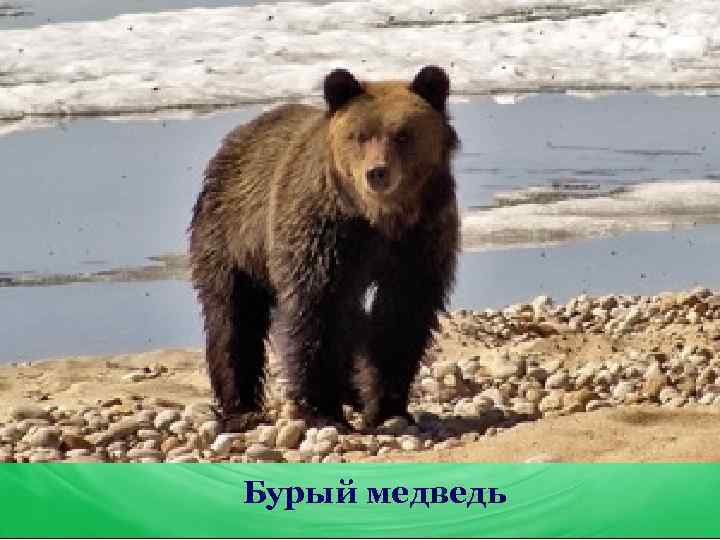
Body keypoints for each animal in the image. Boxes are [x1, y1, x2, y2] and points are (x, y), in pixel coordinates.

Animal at [189, 65, 459, 431]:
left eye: (403, 135)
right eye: (360, 135)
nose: (377, 173)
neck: (379, 219)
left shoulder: (419, 238)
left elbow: (401, 314)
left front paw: (389, 407)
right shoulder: (326, 234)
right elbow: (317, 309)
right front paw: (321, 411)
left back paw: (353, 392)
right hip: (230, 236)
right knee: (231, 318)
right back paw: (242, 409)